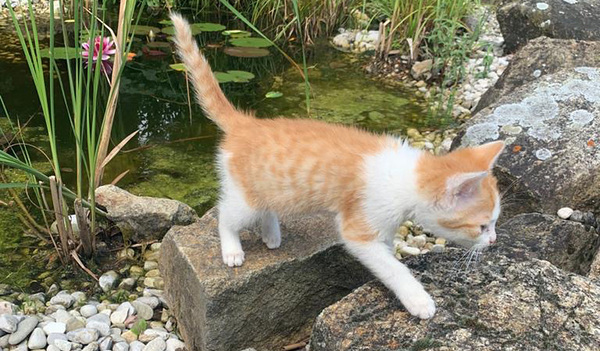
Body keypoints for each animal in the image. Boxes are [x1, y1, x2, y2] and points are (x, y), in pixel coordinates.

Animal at [171, 13, 504, 320]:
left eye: (494, 223)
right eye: (482, 226)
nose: (494, 240)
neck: (407, 177)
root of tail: (246, 124)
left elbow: (388, 251)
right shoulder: (359, 228)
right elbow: (392, 267)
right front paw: (418, 299)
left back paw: (271, 234)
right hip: (244, 196)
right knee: (227, 215)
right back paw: (231, 249)